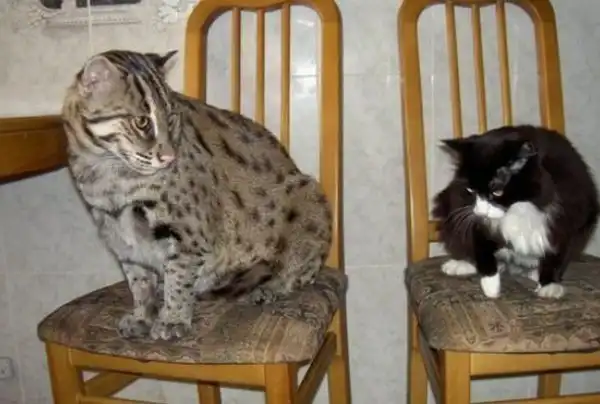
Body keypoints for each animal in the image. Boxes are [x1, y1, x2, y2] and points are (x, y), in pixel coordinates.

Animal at [432, 125, 599, 299]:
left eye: (497, 191)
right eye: (470, 190)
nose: (481, 212)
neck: (518, 208)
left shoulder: (570, 216)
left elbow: (558, 253)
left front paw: (549, 285)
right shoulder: (472, 217)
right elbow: (481, 245)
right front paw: (491, 286)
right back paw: (462, 265)